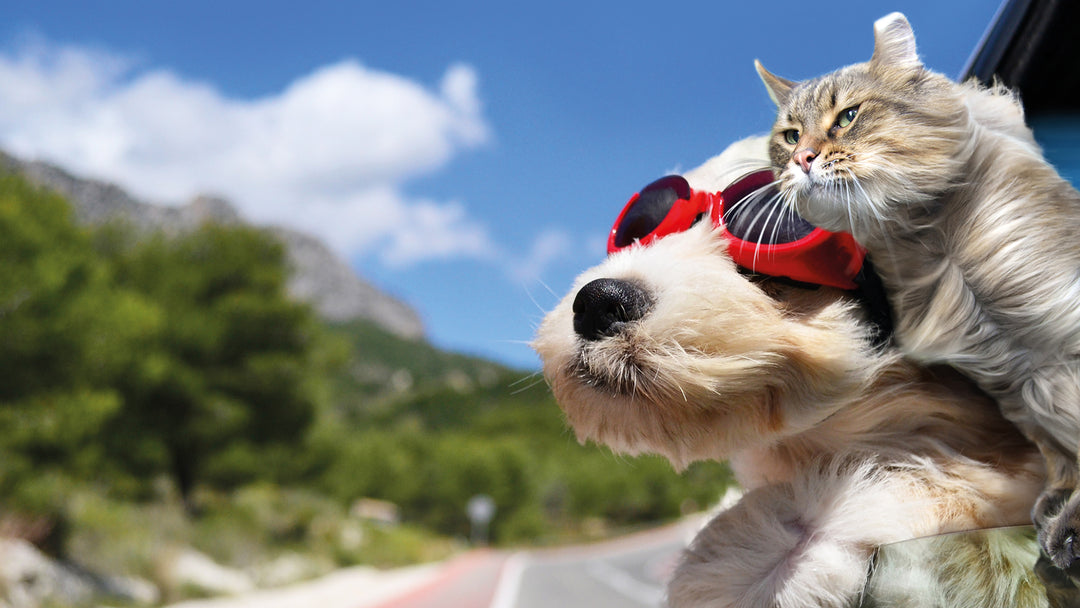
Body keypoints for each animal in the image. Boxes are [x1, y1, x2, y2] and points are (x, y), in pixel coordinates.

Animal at [756, 10, 1080, 570]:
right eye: (790, 135)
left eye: (847, 117)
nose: (803, 159)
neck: (929, 242)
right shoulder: (1014, 382)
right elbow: (1055, 449)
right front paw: (1058, 506)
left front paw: (1071, 521)